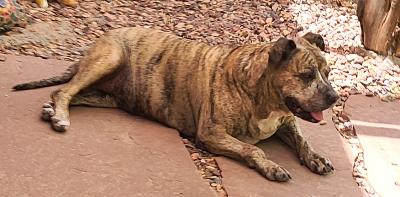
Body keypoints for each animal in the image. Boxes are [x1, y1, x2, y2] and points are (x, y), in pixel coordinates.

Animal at [13, 26, 338, 182]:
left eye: (328, 73)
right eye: (306, 75)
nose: (334, 97)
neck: (261, 93)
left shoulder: (286, 121)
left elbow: (303, 140)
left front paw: (316, 157)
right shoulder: (212, 133)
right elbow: (253, 149)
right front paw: (271, 166)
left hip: (107, 97)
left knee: (75, 93)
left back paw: (51, 111)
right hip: (109, 59)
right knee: (64, 91)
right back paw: (59, 115)